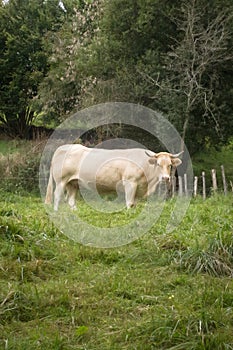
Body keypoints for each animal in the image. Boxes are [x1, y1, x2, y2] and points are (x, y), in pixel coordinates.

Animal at [44, 144, 183, 211]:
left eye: (170, 165)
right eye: (158, 164)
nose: (165, 178)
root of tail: (63, 147)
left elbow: (134, 204)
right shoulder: (130, 183)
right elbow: (129, 202)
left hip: (73, 183)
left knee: (71, 200)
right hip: (61, 181)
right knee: (57, 196)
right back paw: (56, 212)